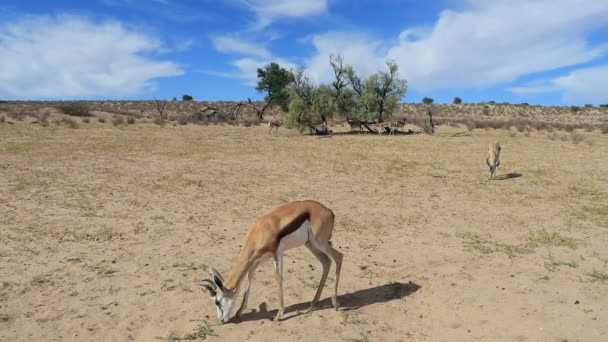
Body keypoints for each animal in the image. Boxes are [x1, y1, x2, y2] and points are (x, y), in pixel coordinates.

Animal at [200, 199, 342, 322]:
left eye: (217, 301)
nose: (220, 320)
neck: (260, 231)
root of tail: (328, 210)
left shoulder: (277, 253)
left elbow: (278, 279)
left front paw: (279, 315)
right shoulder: (256, 261)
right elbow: (249, 278)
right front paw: (239, 311)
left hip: (320, 242)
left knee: (339, 257)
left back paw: (335, 303)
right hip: (310, 244)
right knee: (326, 262)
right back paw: (313, 303)